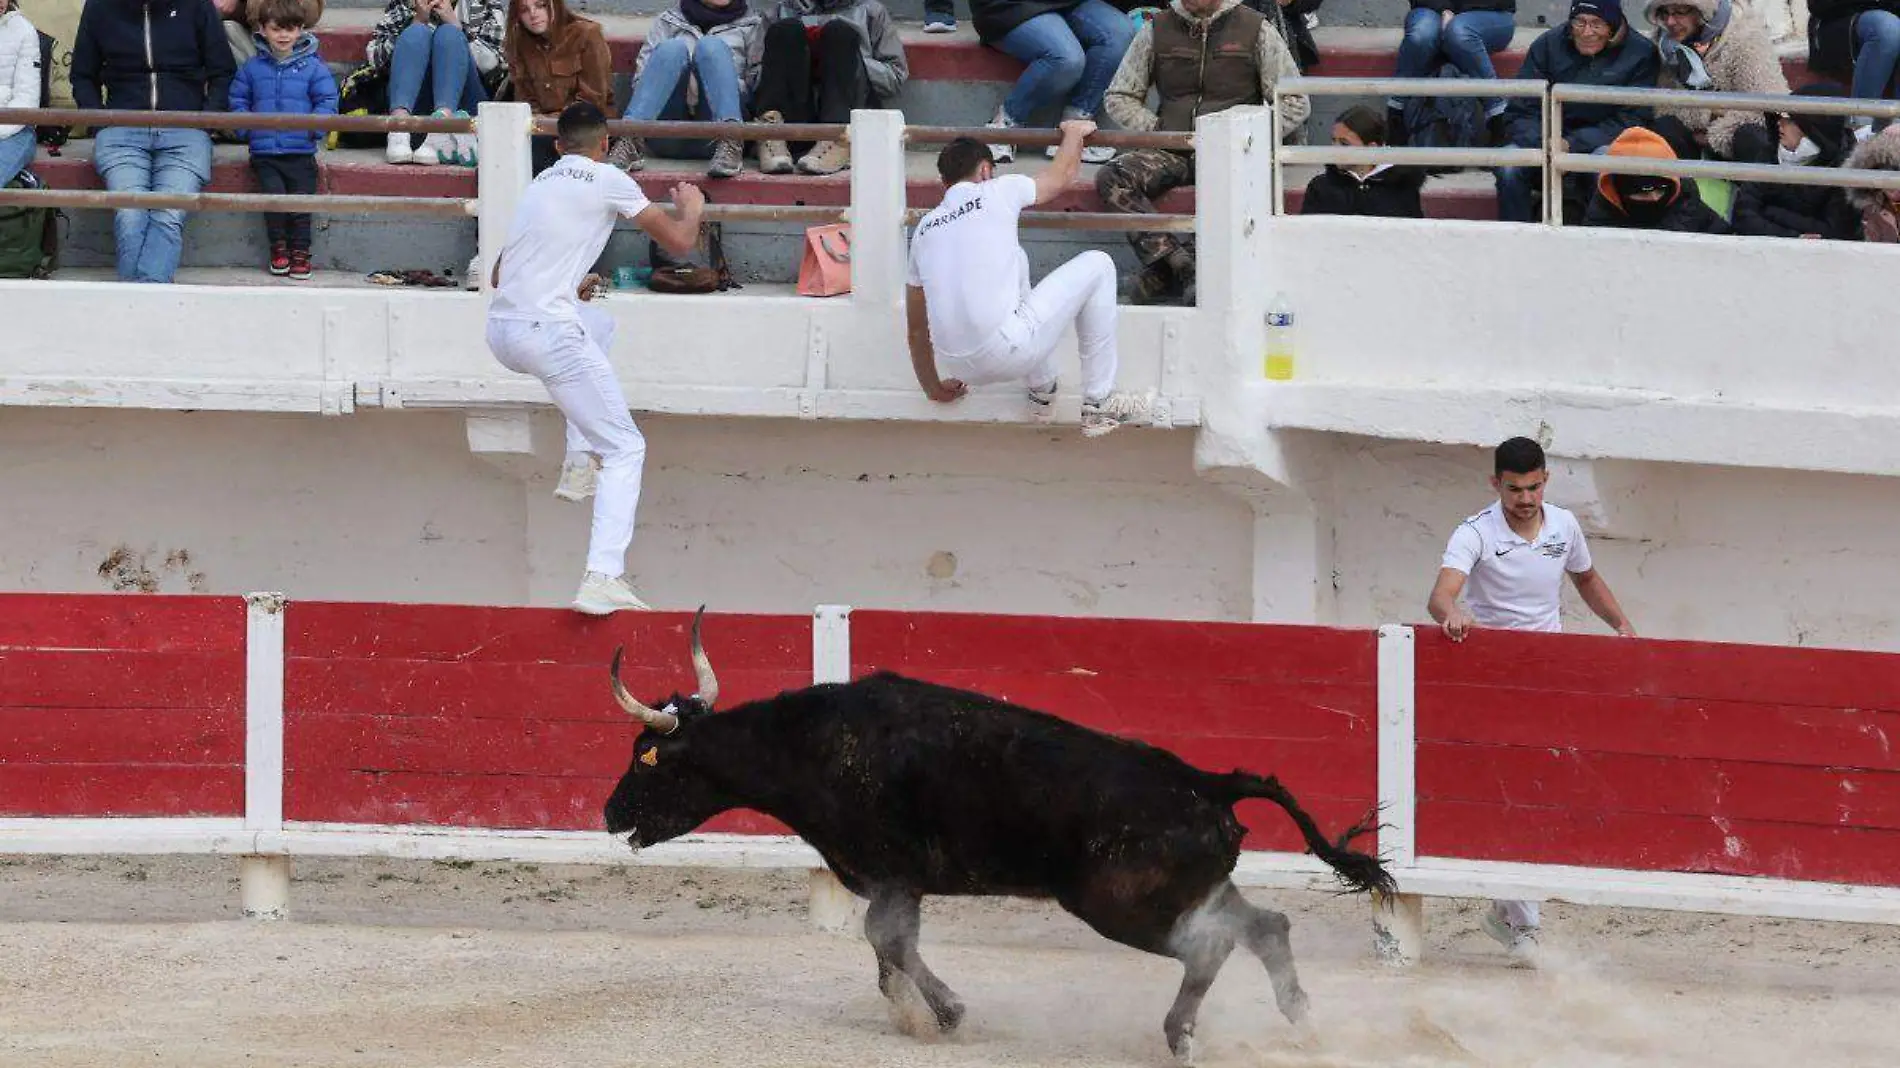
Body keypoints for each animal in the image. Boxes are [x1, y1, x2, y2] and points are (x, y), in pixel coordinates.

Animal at [608, 611, 1398, 1056]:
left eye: (647, 759)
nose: (610, 814)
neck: (808, 745)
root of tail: (1206, 781)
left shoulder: (889, 875)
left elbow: (886, 942)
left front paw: (940, 1015)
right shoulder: (903, 882)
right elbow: (891, 947)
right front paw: (926, 1014)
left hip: (1124, 905)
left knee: (1214, 945)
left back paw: (1180, 1036)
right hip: (1187, 891)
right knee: (1265, 926)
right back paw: (1302, 1023)